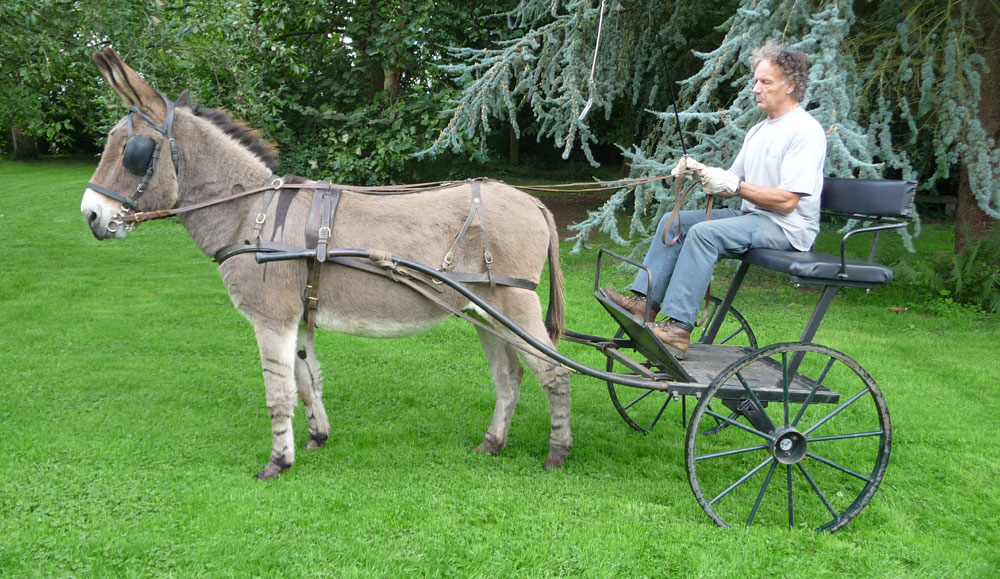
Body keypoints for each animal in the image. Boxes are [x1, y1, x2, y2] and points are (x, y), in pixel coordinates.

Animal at [80, 48, 571, 479]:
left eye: (132, 151)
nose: (90, 216)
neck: (251, 214)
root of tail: (532, 200)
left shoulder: (271, 319)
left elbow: (277, 393)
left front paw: (277, 464)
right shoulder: (296, 319)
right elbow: (305, 380)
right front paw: (316, 438)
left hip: (514, 306)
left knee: (554, 371)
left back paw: (557, 455)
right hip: (484, 313)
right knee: (509, 376)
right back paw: (492, 443)